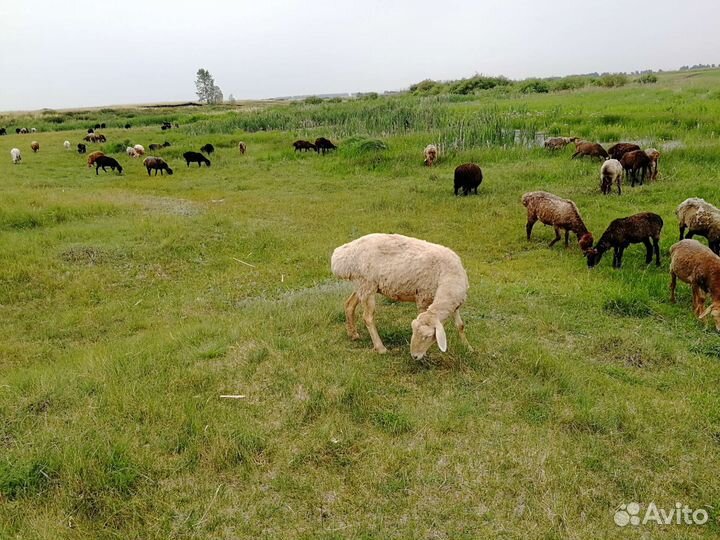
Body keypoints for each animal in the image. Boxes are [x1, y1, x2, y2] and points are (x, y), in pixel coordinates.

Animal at [331, 233, 472, 359]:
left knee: (349, 305)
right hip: (367, 284)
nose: (414, 356)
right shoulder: (423, 297)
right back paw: (380, 348)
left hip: (362, 285)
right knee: (368, 317)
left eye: (427, 336)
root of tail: (340, 257)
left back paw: (353, 334)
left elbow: (460, 325)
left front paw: (468, 347)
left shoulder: (455, 304)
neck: (449, 277)